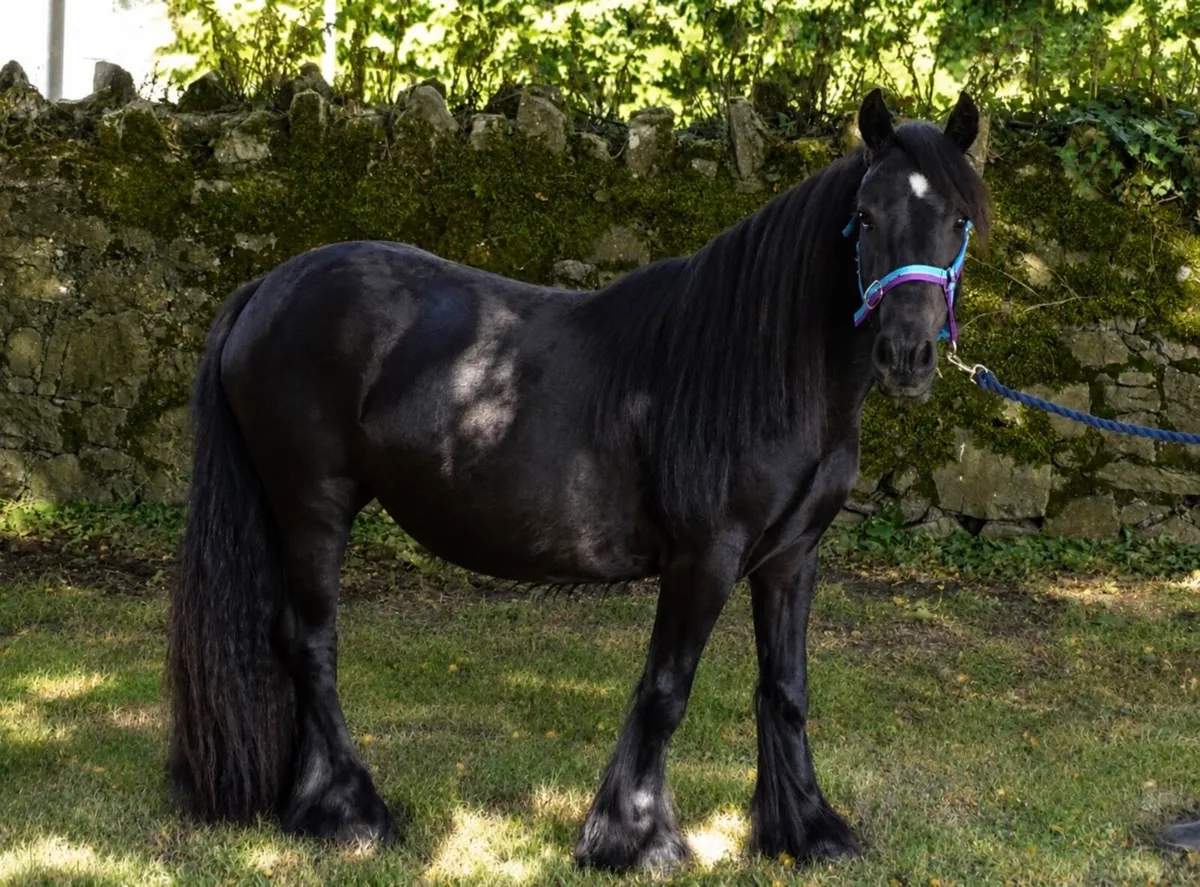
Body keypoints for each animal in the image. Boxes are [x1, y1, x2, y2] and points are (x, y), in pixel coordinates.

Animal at [167, 88, 990, 871]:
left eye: (958, 218)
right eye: (865, 215)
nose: (908, 354)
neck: (764, 370)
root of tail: (266, 289)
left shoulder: (791, 558)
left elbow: (785, 689)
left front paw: (807, 830)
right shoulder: (705, 557)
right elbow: (665, 692)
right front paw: (635, 841)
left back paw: (306, 803)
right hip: (312, 505)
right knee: (309, 644)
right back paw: (353, 814)